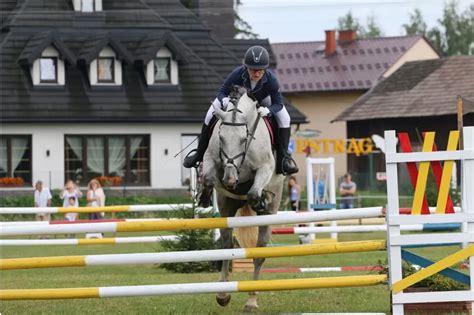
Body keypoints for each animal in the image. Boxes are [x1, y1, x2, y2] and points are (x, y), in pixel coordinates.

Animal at [198, 87, 284, 314]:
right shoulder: (212, 158)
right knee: (227, 245)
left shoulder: (264, 168)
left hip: (270, 213)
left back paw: (251, 300)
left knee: (259, 252)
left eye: (244, 139)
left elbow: (254, 192)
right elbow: (208, 177)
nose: (230, 180)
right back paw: (222, 294)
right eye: (220, 137)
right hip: (226, 208)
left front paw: (259, 198)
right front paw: (206, 191)